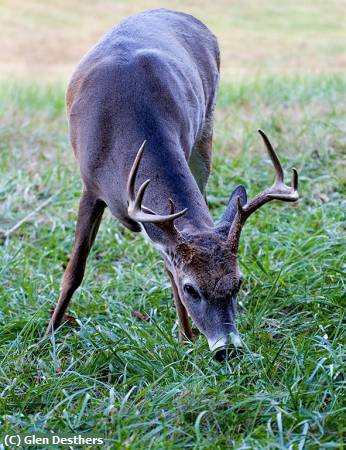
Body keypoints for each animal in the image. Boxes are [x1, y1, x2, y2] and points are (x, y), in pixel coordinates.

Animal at [47, 9, 298, 362]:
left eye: (238, 283)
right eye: (191, 288)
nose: (228, 349)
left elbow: (168, 263)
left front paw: (186, 338)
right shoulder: (90, 185)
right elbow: (75, 270)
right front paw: (48, 336)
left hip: (205, 131)